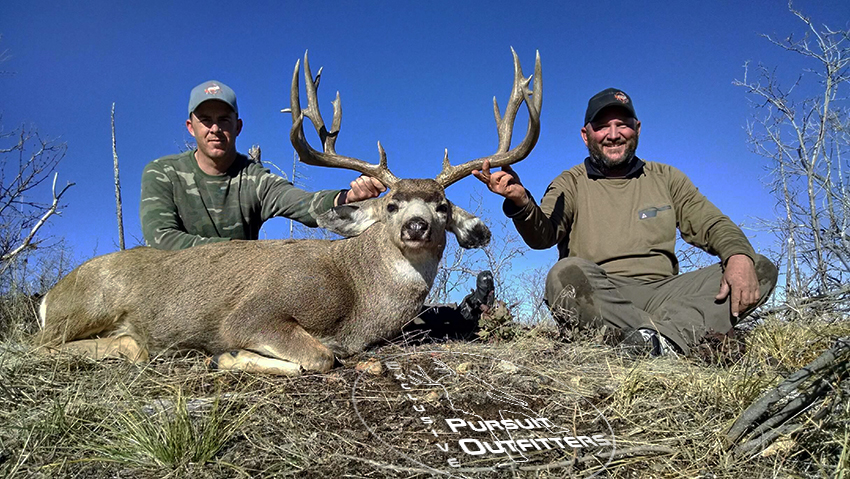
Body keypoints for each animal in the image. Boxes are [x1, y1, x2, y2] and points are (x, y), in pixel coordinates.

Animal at [34, 49, 544, 378]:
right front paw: (224, 358)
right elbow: (318, 357)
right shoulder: (251, 315)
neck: (357, 298)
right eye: (391, 204)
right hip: (89, 305)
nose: (417, 226)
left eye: (442, 206)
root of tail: (48, 295)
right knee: (50, 346)